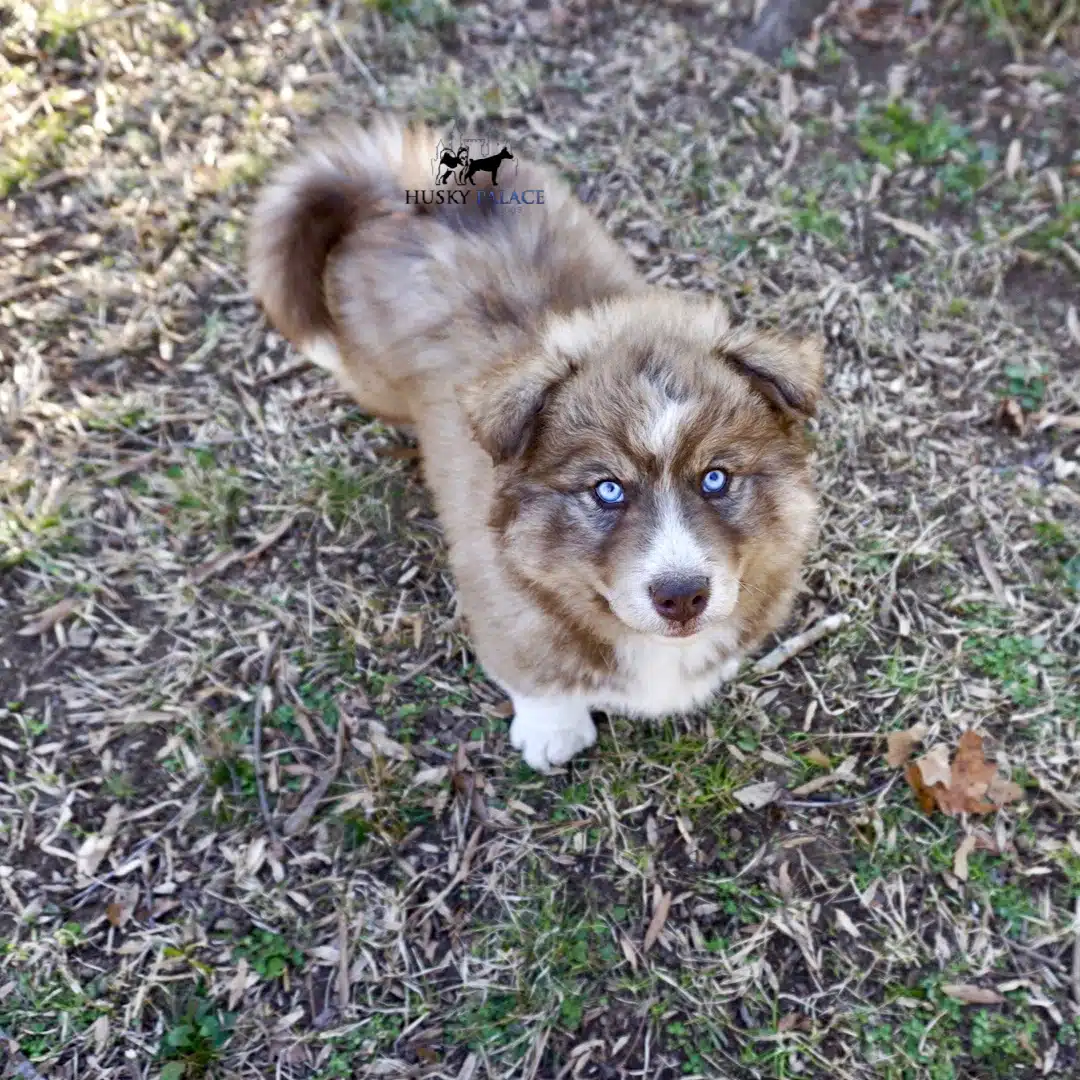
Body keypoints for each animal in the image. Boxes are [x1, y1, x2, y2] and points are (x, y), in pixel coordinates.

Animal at [248, 116, 820, 777]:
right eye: (607, 489)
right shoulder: (503, 604)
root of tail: (407, 193)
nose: (682, 598)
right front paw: (552, 732)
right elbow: (534, 674)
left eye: (716, 478)